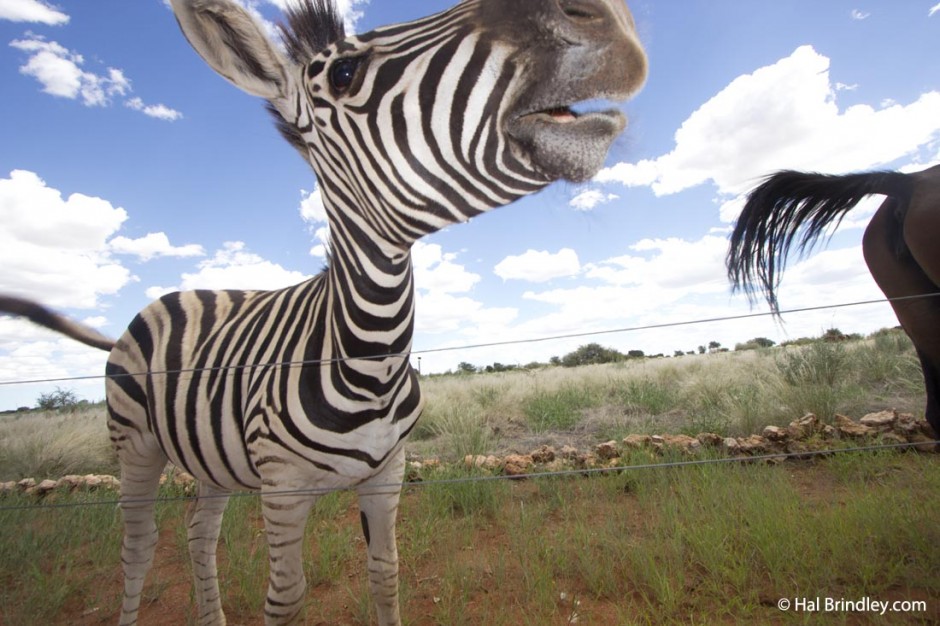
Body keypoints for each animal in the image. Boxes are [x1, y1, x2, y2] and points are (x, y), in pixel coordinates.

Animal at [0, 0, 648, 620]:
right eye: (344, 73)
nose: (611, 18)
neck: (368, 360)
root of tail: (168, 298)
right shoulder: (282, 491)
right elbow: (285, 598)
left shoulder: (388, 476)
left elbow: (386, 574)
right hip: (134, 443)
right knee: (138, 547)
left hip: (211, 461)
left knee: (198, 534)